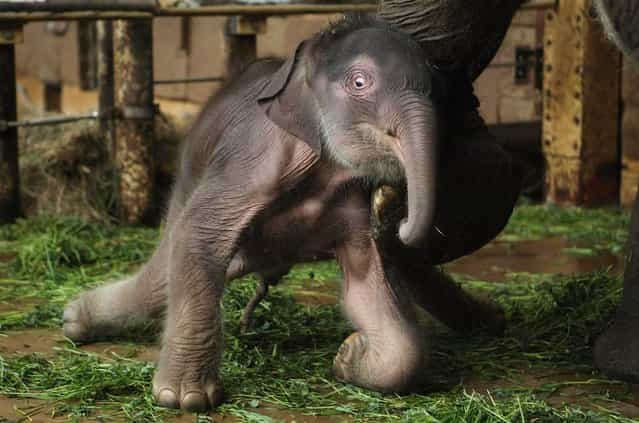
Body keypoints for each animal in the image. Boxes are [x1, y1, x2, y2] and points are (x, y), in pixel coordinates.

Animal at [63, 15, 520, 414]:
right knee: (167, 268)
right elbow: (199, 234)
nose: (393, 207)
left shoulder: (353, 205)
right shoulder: (248, 162)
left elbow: (365, 289)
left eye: (438, 91)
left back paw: (491, 320)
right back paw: (73, 321)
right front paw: (184, 400)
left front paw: (347, 356)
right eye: (359, 83)